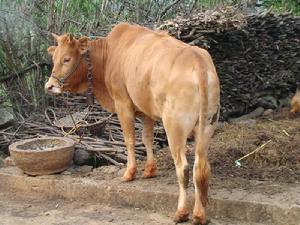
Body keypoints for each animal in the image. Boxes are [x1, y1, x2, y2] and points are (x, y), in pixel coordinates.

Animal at [46, 22, 220, 223]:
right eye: (54, 58)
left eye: (66, 59)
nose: (49, 86)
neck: (108, 55)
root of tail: (197, 60)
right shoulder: (146, 111)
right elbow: (147, 138)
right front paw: (150, 170)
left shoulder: (123, 104)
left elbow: (129, 139)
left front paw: (130, 173)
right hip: (206, 127)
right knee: (201, 167)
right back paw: (199, 214)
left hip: (174, 127)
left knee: (183, 168)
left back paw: (182, 212)